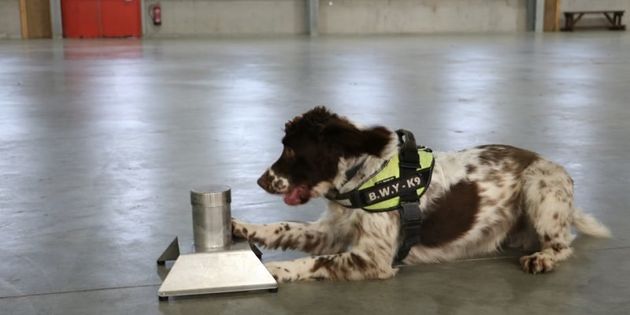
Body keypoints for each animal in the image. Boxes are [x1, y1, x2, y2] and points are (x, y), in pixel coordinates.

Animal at [233, 107, 612, 282]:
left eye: (291, 151)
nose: (260, 181)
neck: (364, 177)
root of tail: (547, 162)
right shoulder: (331, 232)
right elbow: (283, 227)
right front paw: (239, 226)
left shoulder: (372, 259)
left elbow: (311, 262)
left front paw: (273, 272)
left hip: (539, 186)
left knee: (563, 243)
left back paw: (543, 258)